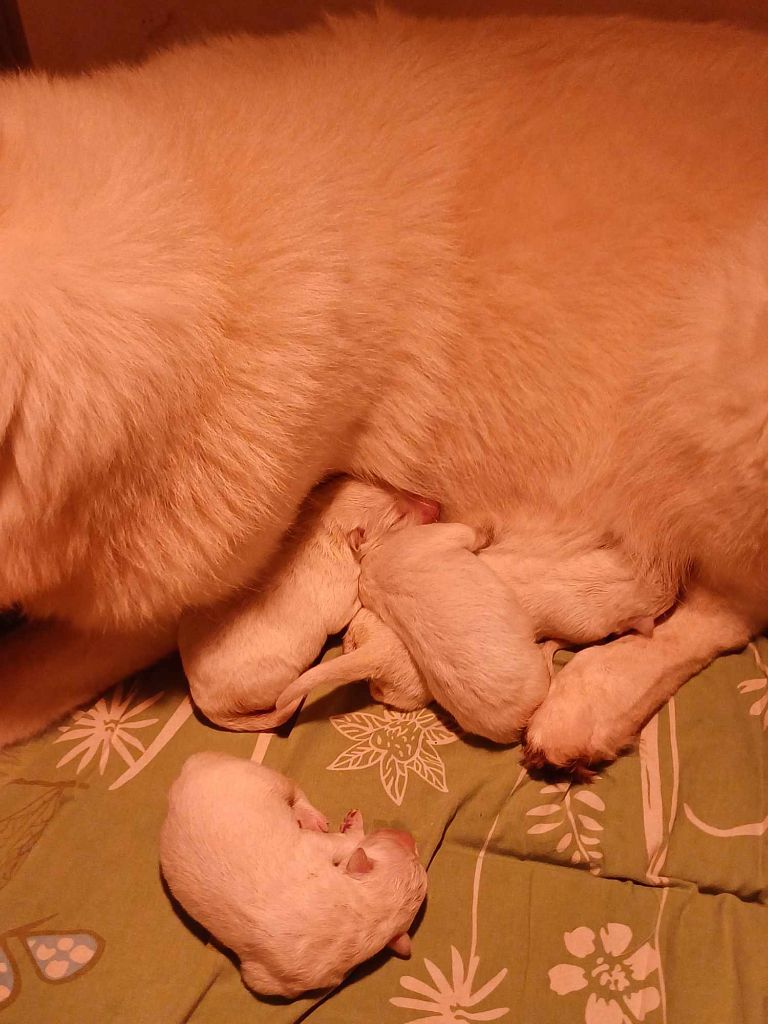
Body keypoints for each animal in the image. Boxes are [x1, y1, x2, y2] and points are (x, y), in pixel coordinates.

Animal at [159, 753, 430, 999]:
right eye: (411, 852)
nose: (411, 838)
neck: (368, 914)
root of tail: (189, 769)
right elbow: (346, 842)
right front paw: (354, 827)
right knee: (295, 791)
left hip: (261, 778)